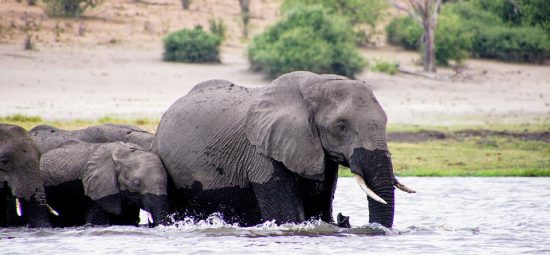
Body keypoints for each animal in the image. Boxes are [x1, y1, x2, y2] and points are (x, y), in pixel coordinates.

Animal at [153, 71, 416, 227]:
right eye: (341, 126)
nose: (345, 217)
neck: (315, 85)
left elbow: (319, 209)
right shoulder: (262, 155)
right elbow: (288, 217)